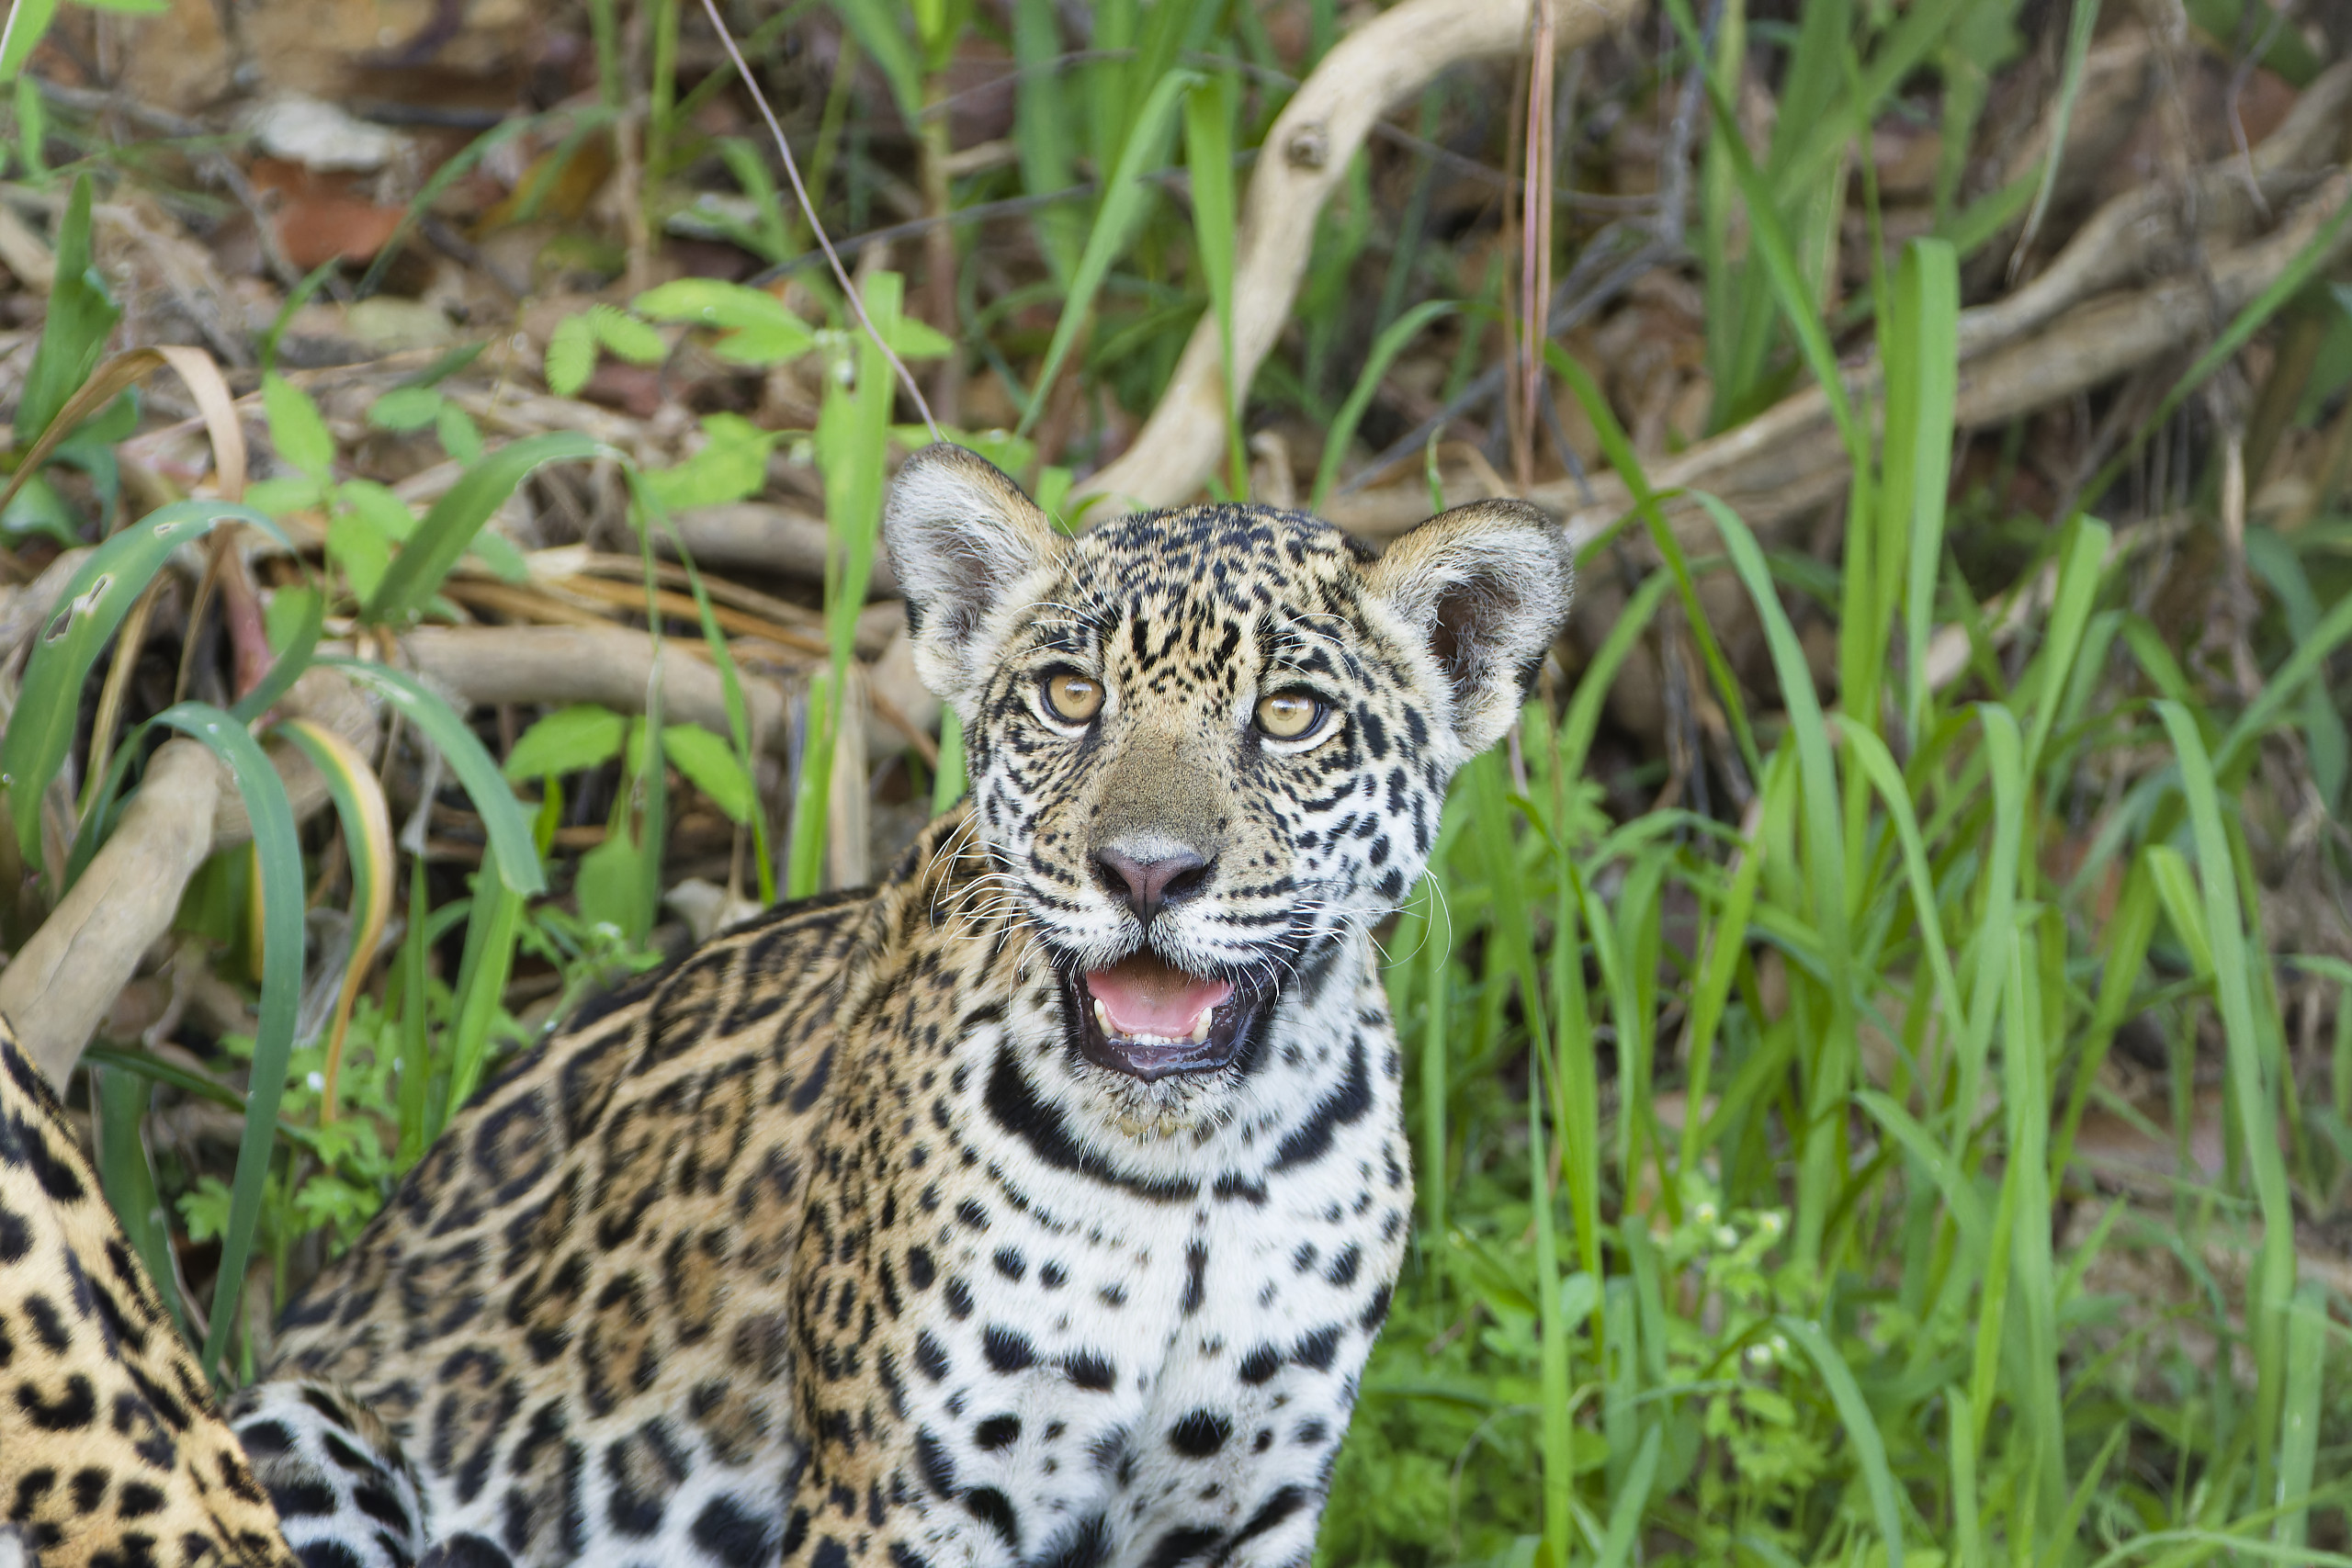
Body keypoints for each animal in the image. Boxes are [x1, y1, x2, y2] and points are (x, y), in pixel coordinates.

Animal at [0, 442, 1573, 1568]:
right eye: (1070, 697)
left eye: (1292, 717)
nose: (1144, 870)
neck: (1193, 1166)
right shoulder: (904, 1495)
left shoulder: (1239, 1503)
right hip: (303, 1422)